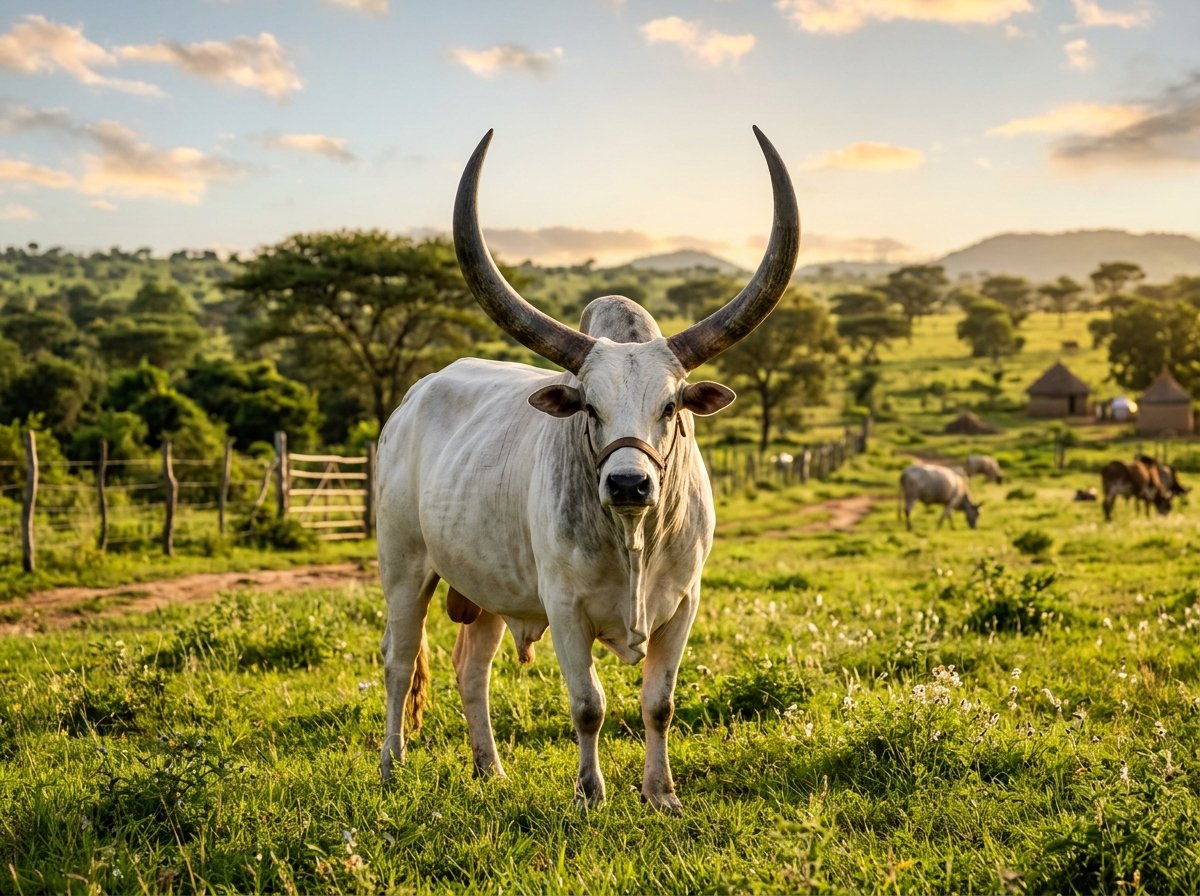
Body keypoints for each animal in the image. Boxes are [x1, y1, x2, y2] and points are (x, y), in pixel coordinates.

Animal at [375, 127, 800, 812]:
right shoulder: (564, 607)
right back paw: (391, 767)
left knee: (472, 668)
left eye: (671, 407)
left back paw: (490, 769)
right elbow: (588, 706)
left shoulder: (684, 604)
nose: (629, 483)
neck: (633, 539)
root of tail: (411, 401)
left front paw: (661, 794)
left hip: (485, 587)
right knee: (398, 658)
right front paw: (590, 794)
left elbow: (659, 704)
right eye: (588, 407)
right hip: (403, 565)